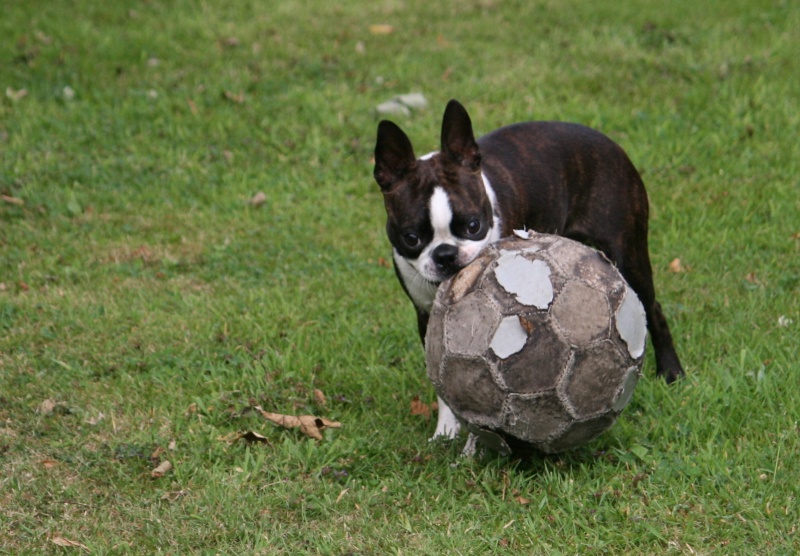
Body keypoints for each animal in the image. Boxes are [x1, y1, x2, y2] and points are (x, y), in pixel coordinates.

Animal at [374, 99, 680, 438]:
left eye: (473, 225)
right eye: (411, 238)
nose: (446, 255)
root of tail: (609, 143)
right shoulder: (427, 315)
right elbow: (440, 374)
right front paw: (446, 430)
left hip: (628, 252)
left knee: (653, 309)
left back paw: (671, 372)